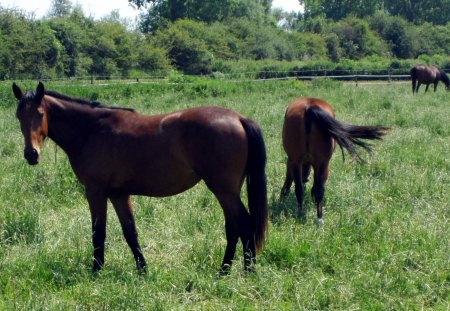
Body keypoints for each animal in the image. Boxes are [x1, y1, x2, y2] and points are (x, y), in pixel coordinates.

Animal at [13, 83, 268, 276]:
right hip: (227, 190)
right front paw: (143, 270)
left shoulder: (95, 192)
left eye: (40, 114)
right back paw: (224, 271)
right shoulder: (118, 194)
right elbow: (130, 232)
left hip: (223, 189)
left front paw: (96, 271)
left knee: (245, 224)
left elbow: (98, 232)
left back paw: (248, 272)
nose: (31, 154)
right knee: (233, 228)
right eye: (18, 116)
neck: (91, 131)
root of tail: (238, 118)